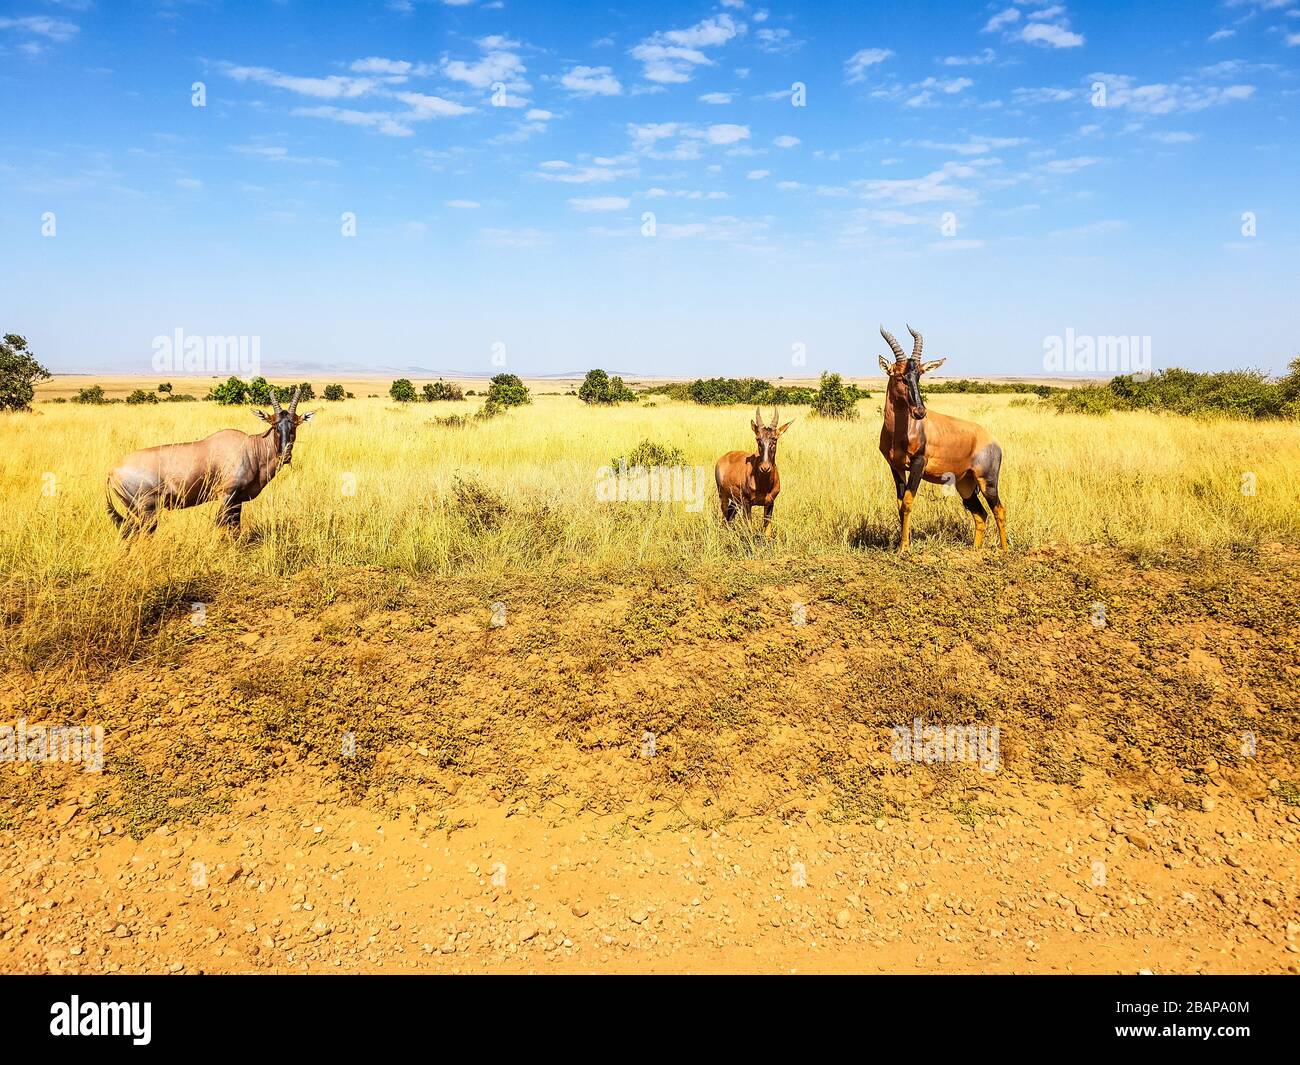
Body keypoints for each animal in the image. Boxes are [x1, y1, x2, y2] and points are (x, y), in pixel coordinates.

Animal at [106, 382, 314, 538]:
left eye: (294, 425)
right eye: (275, 425)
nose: (285, 456)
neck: (250, 447)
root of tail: (112, 472)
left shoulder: (237, 500)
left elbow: (235, 528)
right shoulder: (227, 495)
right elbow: (221, 524)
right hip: (147, 510)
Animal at [712, 405, 790, 538]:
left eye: (774, 439)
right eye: (758, 439)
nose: (765, 468)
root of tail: (723, 457)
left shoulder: (770, 503)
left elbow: (767, 532)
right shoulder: (747, 503)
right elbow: (749, 530)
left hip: (735, 501)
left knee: (730, 515)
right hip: (723, 495)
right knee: (725, 515)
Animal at [878, 325, 1008, 553]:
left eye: (919, 375)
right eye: (899, 375)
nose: (920, 412)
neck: (901, 432)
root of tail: (992, 440)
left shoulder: (918, 464)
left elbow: (908, 503)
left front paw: (905, 548)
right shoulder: (896, 467)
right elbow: (899, 504)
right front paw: (900, 545)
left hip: (988, 481)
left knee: (999, 510)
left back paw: (1005, 551)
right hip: (965, 484)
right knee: (980, 514)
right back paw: (975, 551)